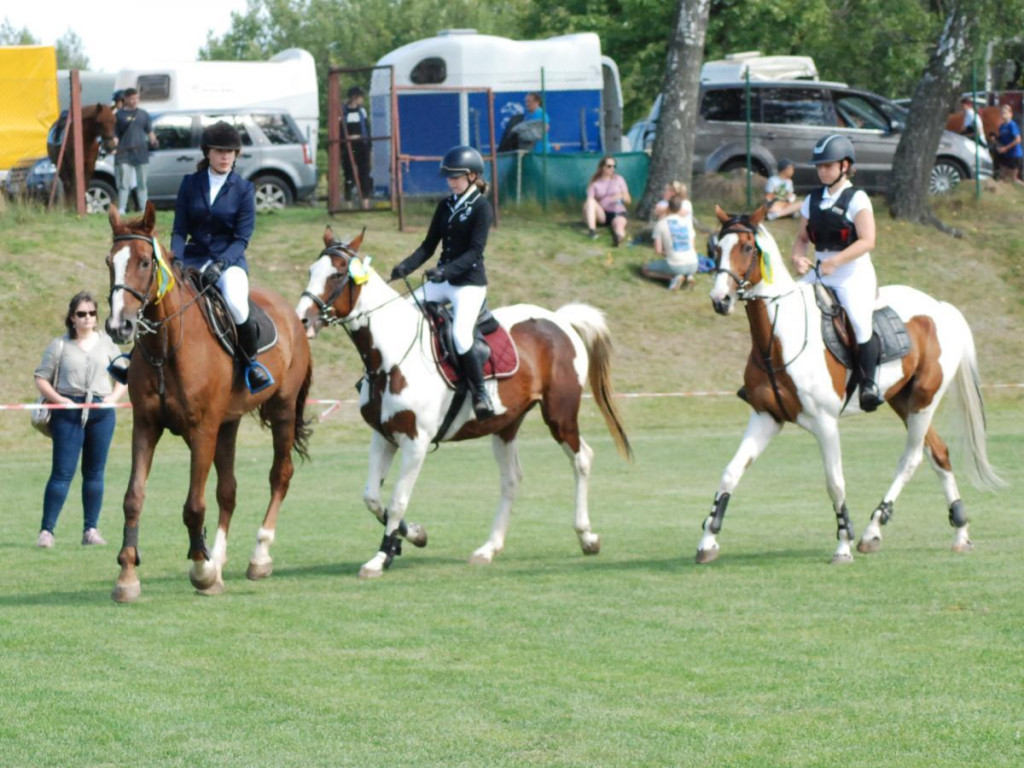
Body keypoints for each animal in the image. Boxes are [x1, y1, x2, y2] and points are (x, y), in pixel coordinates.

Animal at [104, 202, 313, 602]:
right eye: (110, 261)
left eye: (144, 262)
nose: (118, 326)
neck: (166, 347)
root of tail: (292, 313)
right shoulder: (147, 426)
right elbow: (133, 498)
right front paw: (127, 575)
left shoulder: (202, 430)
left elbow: (193, 505)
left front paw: (200, 572)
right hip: (227, 423)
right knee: (227, 491)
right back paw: (218, 559)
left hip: (281, 411)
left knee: (280, 475)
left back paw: (258, 556)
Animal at [296, 231, 630, 581]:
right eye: (310, 271)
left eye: (336, 275)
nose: (302, 319)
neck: (390, 357)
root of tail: (559, 320)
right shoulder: (383, 436)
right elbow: (372, 497)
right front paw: (413, 535)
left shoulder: (415, 442)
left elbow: (398, 499)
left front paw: (382, 556)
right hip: (506, 425)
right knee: (511, 479)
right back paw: (488, 548)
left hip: (559, 415)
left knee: (582, 460)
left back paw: (587, 537)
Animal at [700, 204, 1003, 565]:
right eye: (715, 249)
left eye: (747, 248)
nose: (720, 299)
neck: (777, 337)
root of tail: (941, 308)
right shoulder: (765, 417)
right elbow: (730, 472)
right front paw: (708, 540)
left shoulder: (825, 423)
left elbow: (835, 482)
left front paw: (843, 543)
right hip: (903, 400)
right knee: (939, 453)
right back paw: (960, 531)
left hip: (923, 401)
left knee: (912, 458)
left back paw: (873, 530)